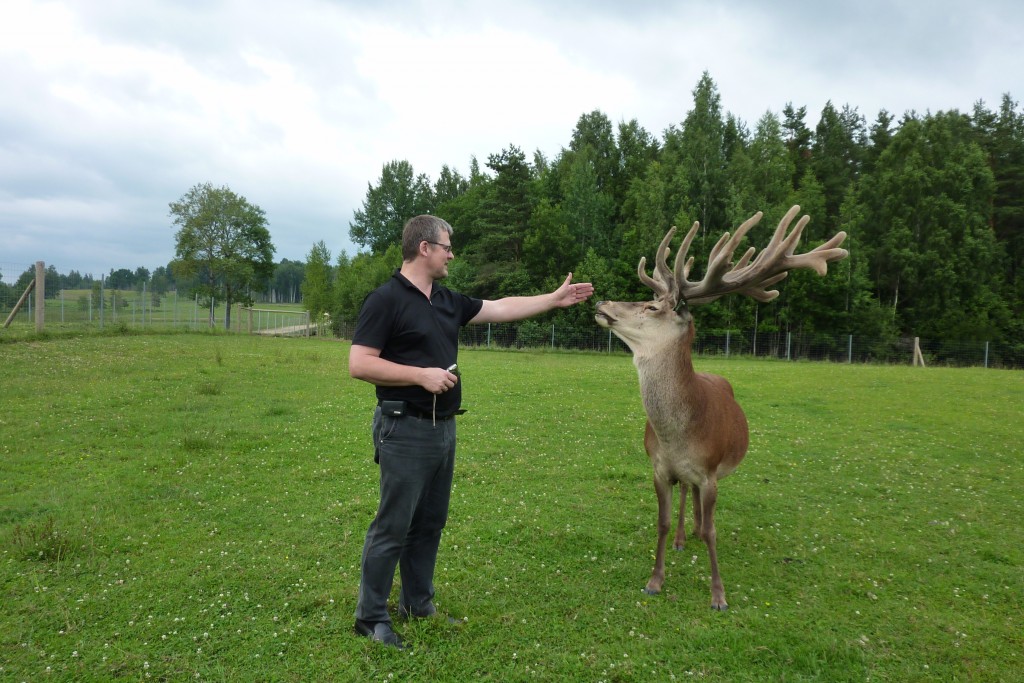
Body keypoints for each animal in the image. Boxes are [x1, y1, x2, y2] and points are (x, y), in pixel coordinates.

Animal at [593, 205, 847, 610]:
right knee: (687, 493)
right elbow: (662, 522)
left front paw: (718, 594)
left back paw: (695, 531)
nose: (601, 303)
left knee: (700, 505)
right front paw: (655, 580)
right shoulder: (659, 468)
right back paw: (684, 536)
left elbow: (712, 531)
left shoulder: (711, 473)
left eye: (651, 306)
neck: (679, 435)